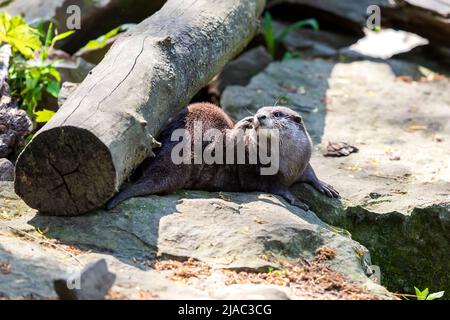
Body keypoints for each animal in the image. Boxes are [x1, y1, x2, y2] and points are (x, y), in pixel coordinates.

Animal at [105, 102, 338, 210]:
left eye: (277, 113)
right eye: (260, 111)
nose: (258, 117)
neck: (288, 163)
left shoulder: (304, 158)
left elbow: (311, 172)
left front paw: (325, 186)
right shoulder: (260, 174)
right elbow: (275, 187)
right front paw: (295, 199)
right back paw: (238, 127)